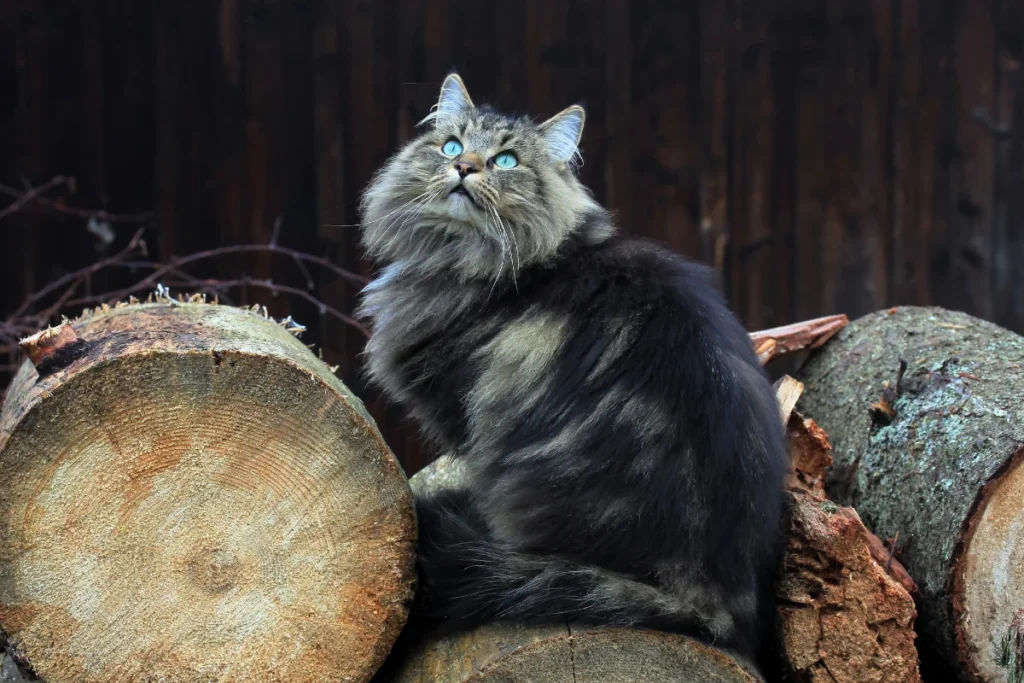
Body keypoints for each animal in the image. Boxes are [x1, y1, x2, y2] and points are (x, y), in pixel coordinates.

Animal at [358, 74, 790, 667]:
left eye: (506, 160)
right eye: (450, 146)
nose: (465, 167)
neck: (463, 258)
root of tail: (720, 597)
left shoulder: (462, 412)